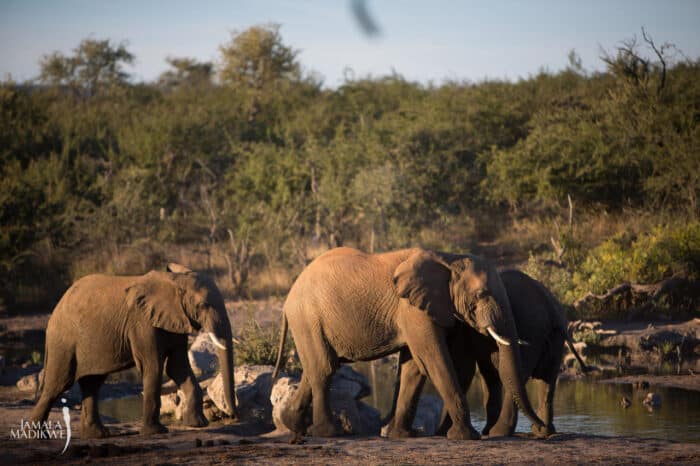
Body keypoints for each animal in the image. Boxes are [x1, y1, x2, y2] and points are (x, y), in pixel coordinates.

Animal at [30, 264, 238, 438]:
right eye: (203, 305)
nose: (233, 415)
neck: (174, 281)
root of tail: (56, 308)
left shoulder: (176, 319)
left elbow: (177, 367)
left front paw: (198, 424)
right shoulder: (142, 324)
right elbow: (153, 367)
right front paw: (156, 432)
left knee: (92, 384)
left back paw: (97, 435)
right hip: (63, 342)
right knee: (58, 384)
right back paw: (37, 436)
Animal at [270, 249, 548, 438]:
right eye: (481, 294)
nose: (542, 428)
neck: (449, 259)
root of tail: (289, 295)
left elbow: (413, 367)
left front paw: (399, 435)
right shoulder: (413, 310)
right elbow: (433, 360)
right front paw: (467, 437)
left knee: (316, 368)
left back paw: (294, 425)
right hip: (308, 318)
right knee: (325, 368)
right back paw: (329, 433)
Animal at [386, 268, 588, 438]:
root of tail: (550, 303)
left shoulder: (463, 330)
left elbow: (464, 370)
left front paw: (444, 432)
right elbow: (487, 374)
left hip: (531, 328)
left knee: (519, 376)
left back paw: (501, 432)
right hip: (553, 337)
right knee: (547, 380)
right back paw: (542, 431)